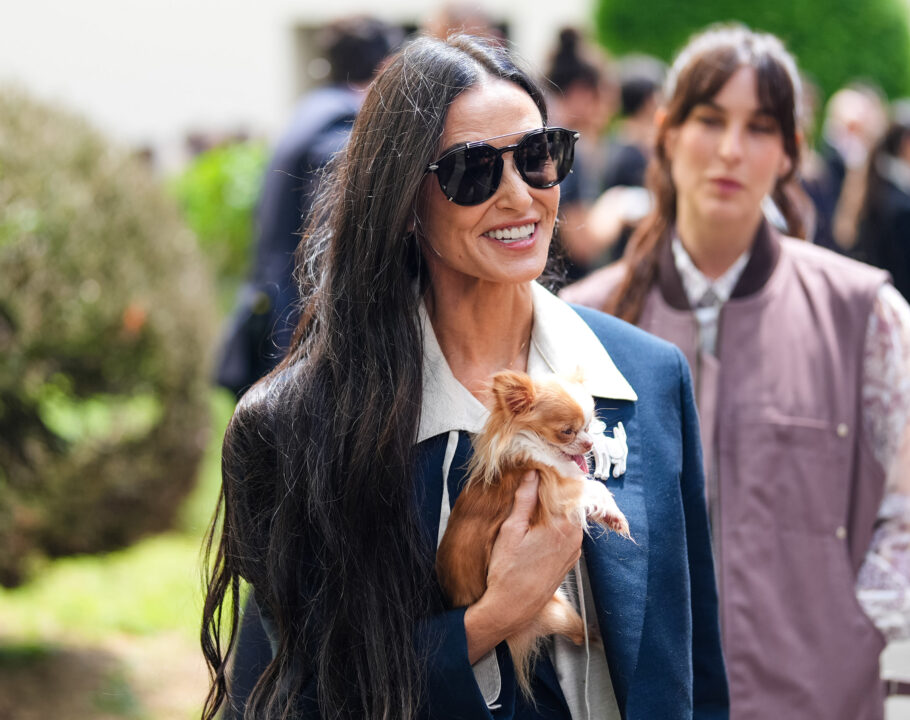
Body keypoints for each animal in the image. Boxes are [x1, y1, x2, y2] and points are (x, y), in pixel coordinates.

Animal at [438, 368, 632, 696]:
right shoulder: (553, 490)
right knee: (577, 635)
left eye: (589, 427)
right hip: (551, 610)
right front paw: (612, 513)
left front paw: (611, 516)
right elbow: (593, 487)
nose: (588, 445)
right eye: (567, 431)